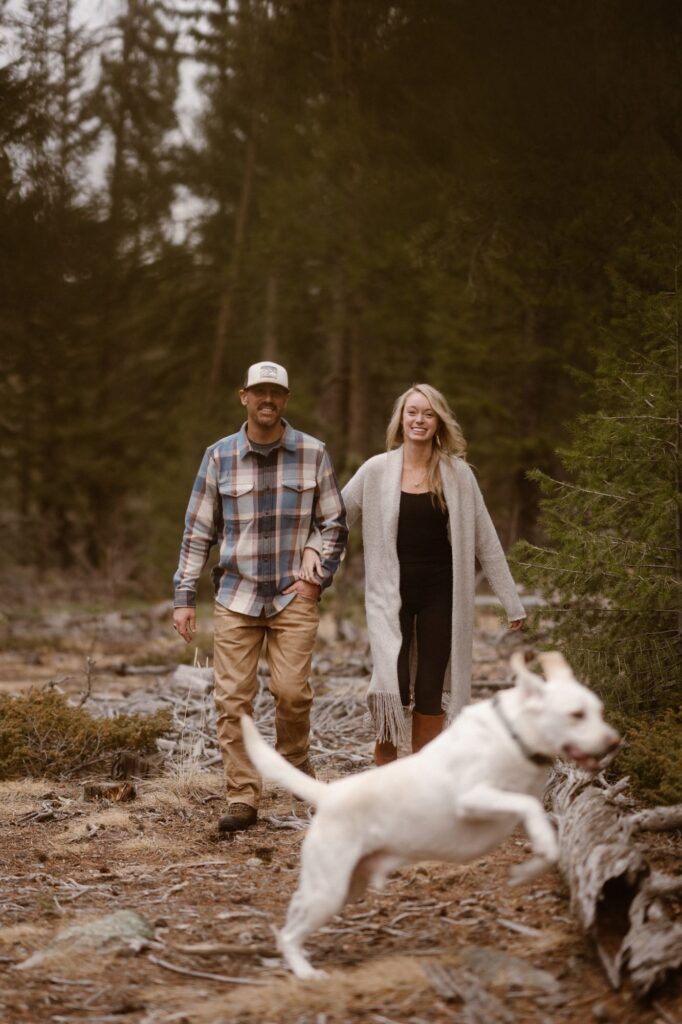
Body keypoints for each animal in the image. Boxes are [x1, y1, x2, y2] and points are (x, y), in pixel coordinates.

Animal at [241, 651, 618, 978]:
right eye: (576, 715)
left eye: (598, 711)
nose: (615, 742)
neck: (515, 735)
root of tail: (331, 793)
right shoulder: (472, 798)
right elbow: (527, 807)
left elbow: (544, 835)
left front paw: (528, 869)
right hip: (330, 890)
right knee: (291, 931)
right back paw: (305, 972)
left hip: (346, 886)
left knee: (294, 914)